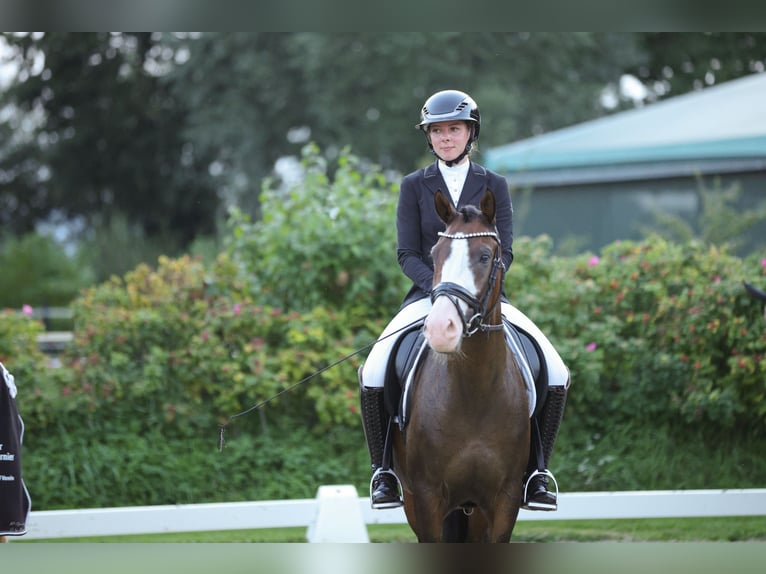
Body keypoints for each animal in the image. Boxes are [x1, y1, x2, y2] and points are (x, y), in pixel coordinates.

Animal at [392, 190, 532, 544]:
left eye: (484, 256)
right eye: (435, 254)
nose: (441, 328)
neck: (475, 390)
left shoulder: (505, 499)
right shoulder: (426, 497)